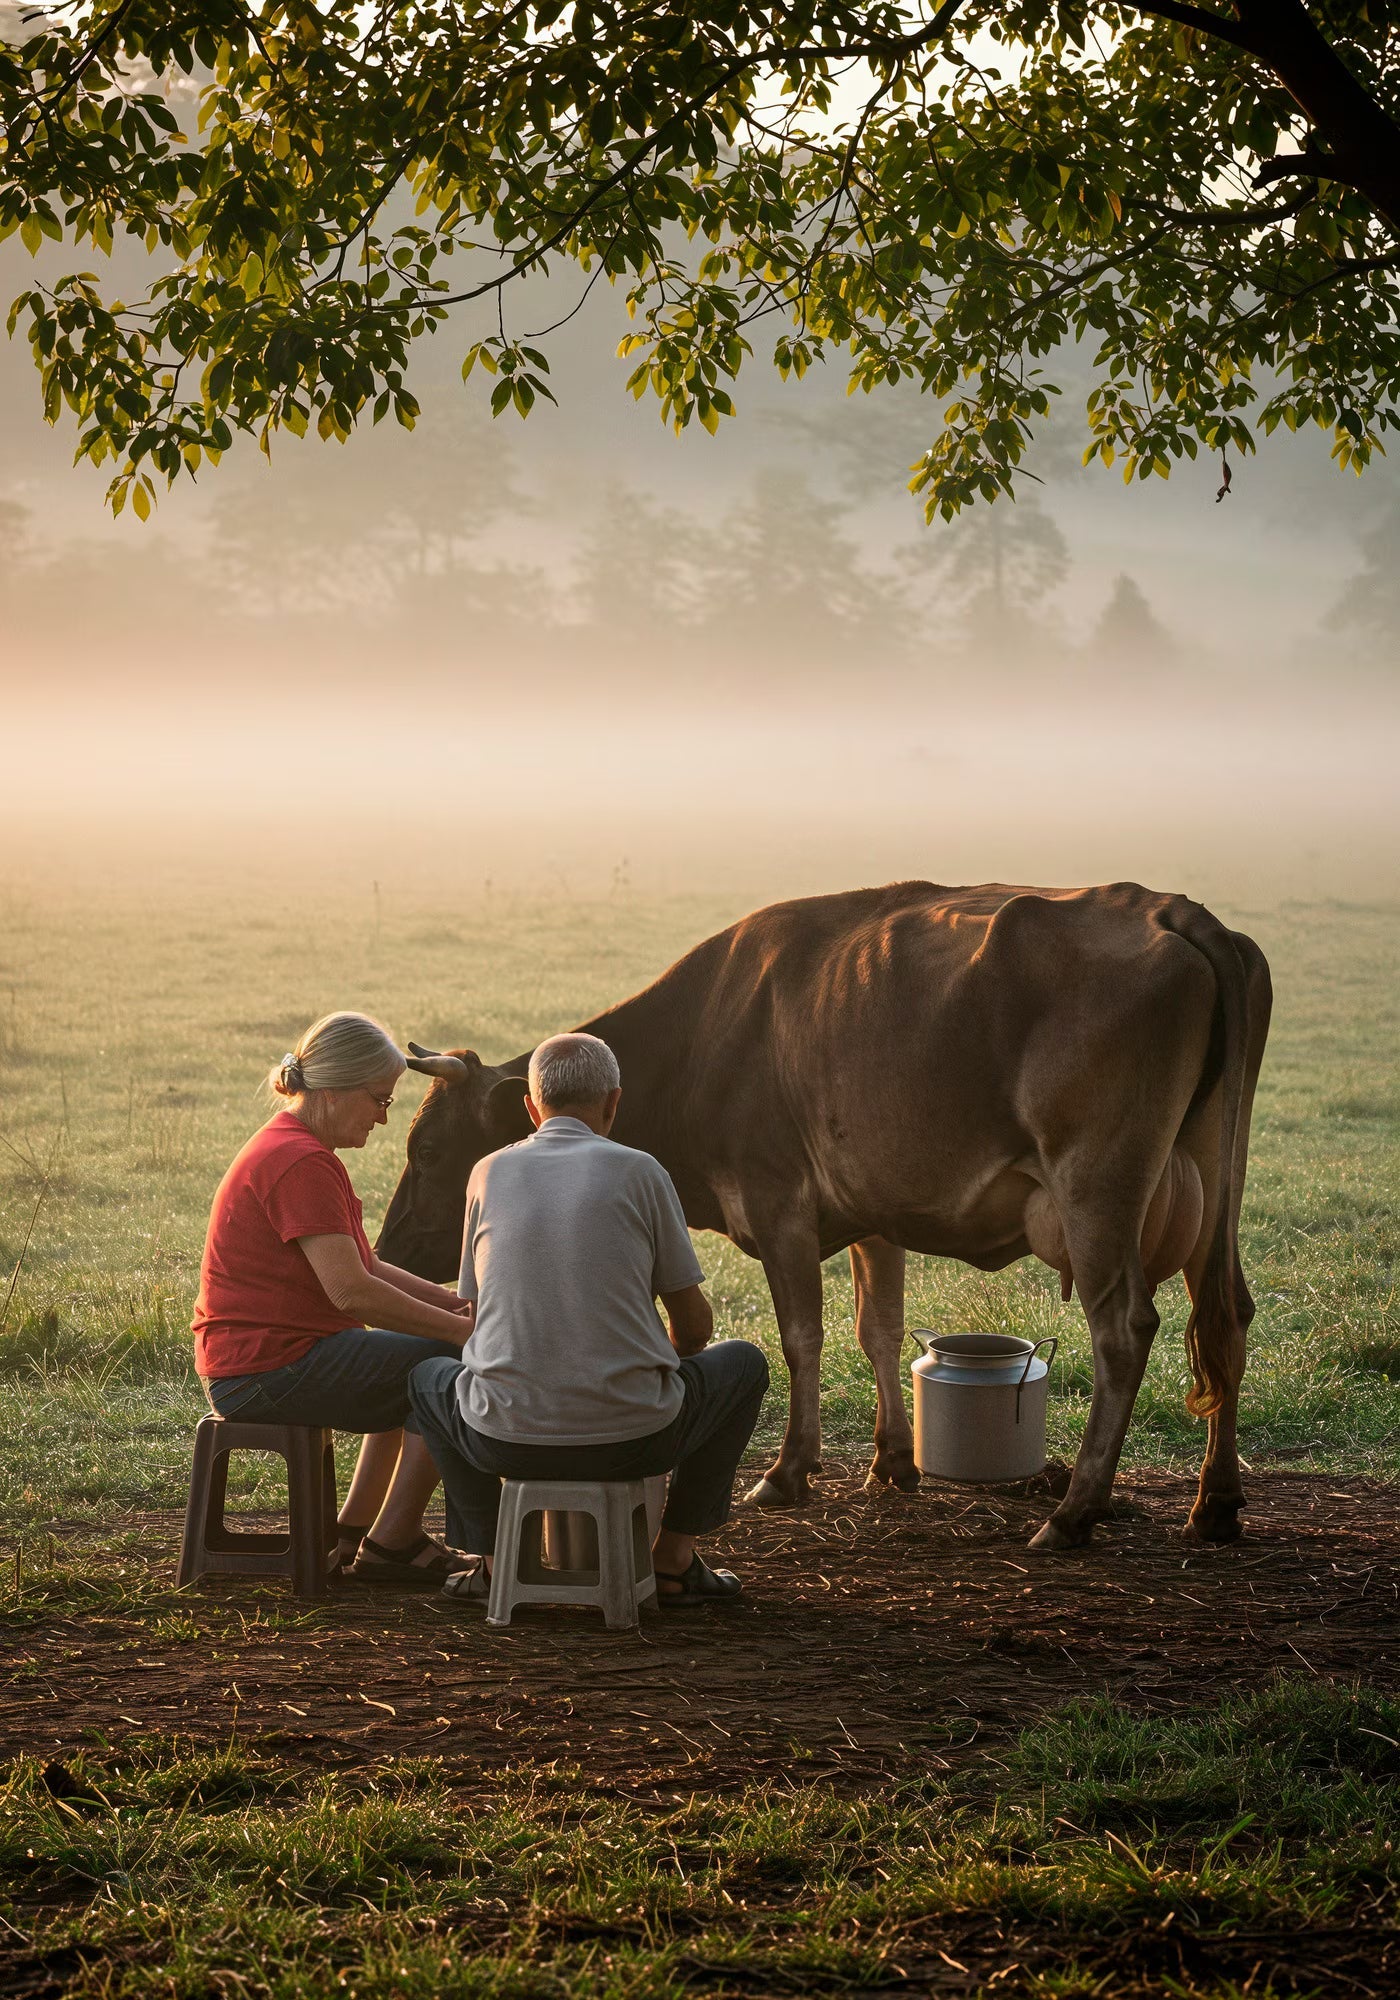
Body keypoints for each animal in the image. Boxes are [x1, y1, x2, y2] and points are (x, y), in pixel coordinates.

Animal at [377, 880, 1271, 1550]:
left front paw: (789, 1469)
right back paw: (1215, 1503)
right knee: (1224, 1312)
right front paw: (892, 1463)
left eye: (429, 1153)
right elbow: (880, 1328)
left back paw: (1076, 1510)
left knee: (1124, 1328)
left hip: (1097, 1186)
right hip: (1214, 1178)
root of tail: (1169, 910)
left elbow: (801, 1334)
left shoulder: (779, 1204)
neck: (708, 1032)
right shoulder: (875, 1208)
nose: (390, 1248)